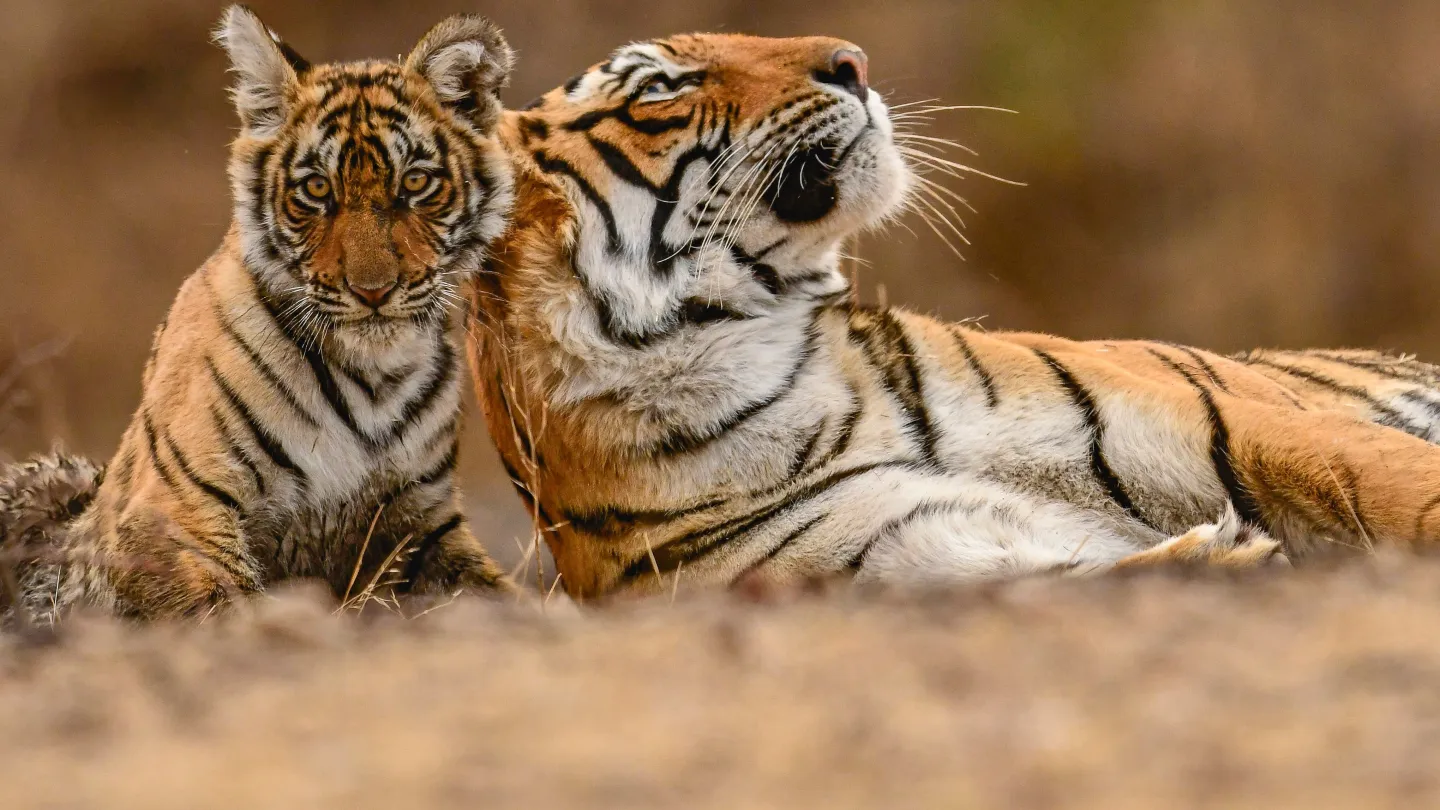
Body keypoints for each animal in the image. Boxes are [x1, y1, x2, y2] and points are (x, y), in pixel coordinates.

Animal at [0, 7, 518, 621]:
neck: (374, 376)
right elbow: (224, 604)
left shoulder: (423, 520)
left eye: (415, 182)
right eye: (316, 189)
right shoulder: (174, 509)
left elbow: (503, 594)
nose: (372, 291)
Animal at [467, 33, 1440, 601]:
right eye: (663, 88)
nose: (853, 62)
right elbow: (1071, 579)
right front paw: (1218, 559)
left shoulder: (1230, 426)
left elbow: (1403, 483)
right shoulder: (916, 552)